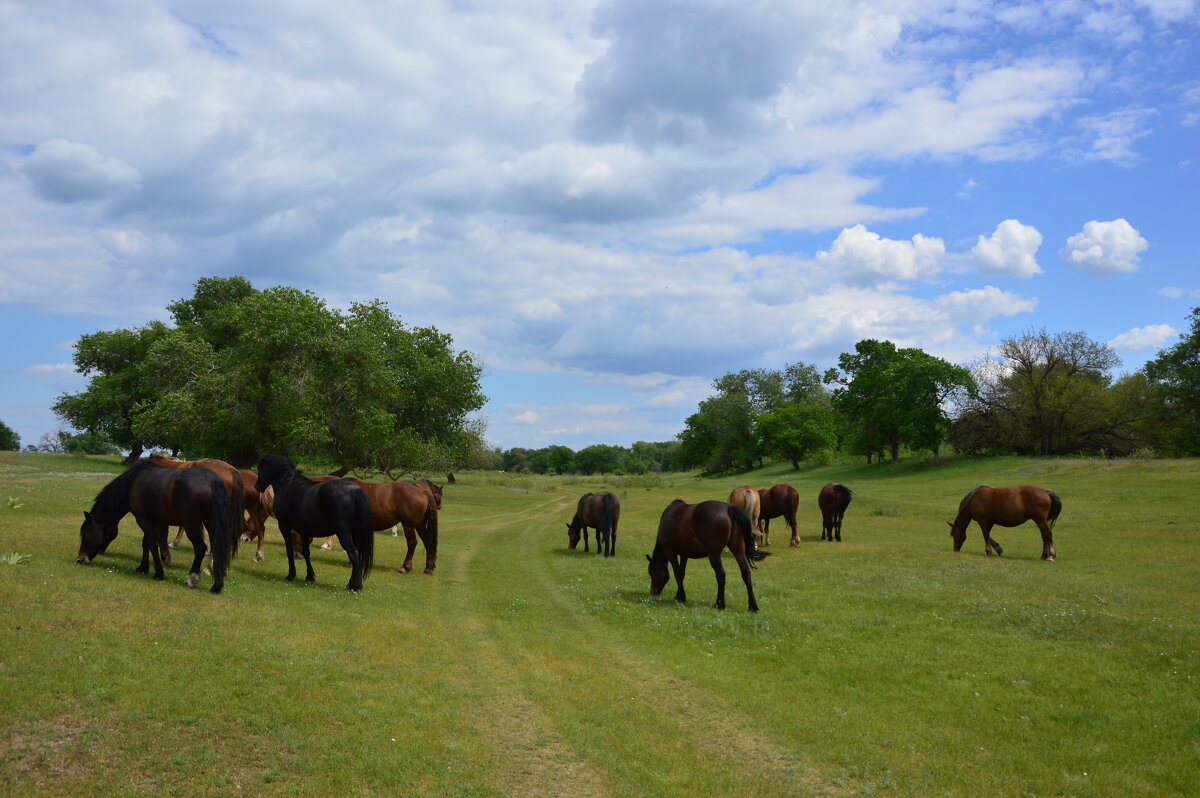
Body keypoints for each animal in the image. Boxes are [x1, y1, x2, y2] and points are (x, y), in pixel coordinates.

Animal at [77, 460, 238, 590]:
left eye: (85, 533)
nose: (80, 559)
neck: (133, 481)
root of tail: (214, 482)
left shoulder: (142, 519)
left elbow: (151, 544)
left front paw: (158, 572)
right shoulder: (154, 520)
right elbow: (146, 544)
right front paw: (143, 567)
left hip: (191, 525)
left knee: (200, 548)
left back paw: (192, 579)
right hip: (211, 524)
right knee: (217, 548)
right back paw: (217, 585)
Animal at [256, 451, 374, 588]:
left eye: (260, 468)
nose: (256, 486)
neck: (287, 484)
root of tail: (354, 490)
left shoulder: (284, 525)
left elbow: (289, 550)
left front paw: (291, 575)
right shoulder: (303, 530)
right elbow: (306, 552)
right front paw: (310, 576)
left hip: (343, 532)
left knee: (353, 553)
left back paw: (355, 586)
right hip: (354, 532)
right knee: (358, 554)